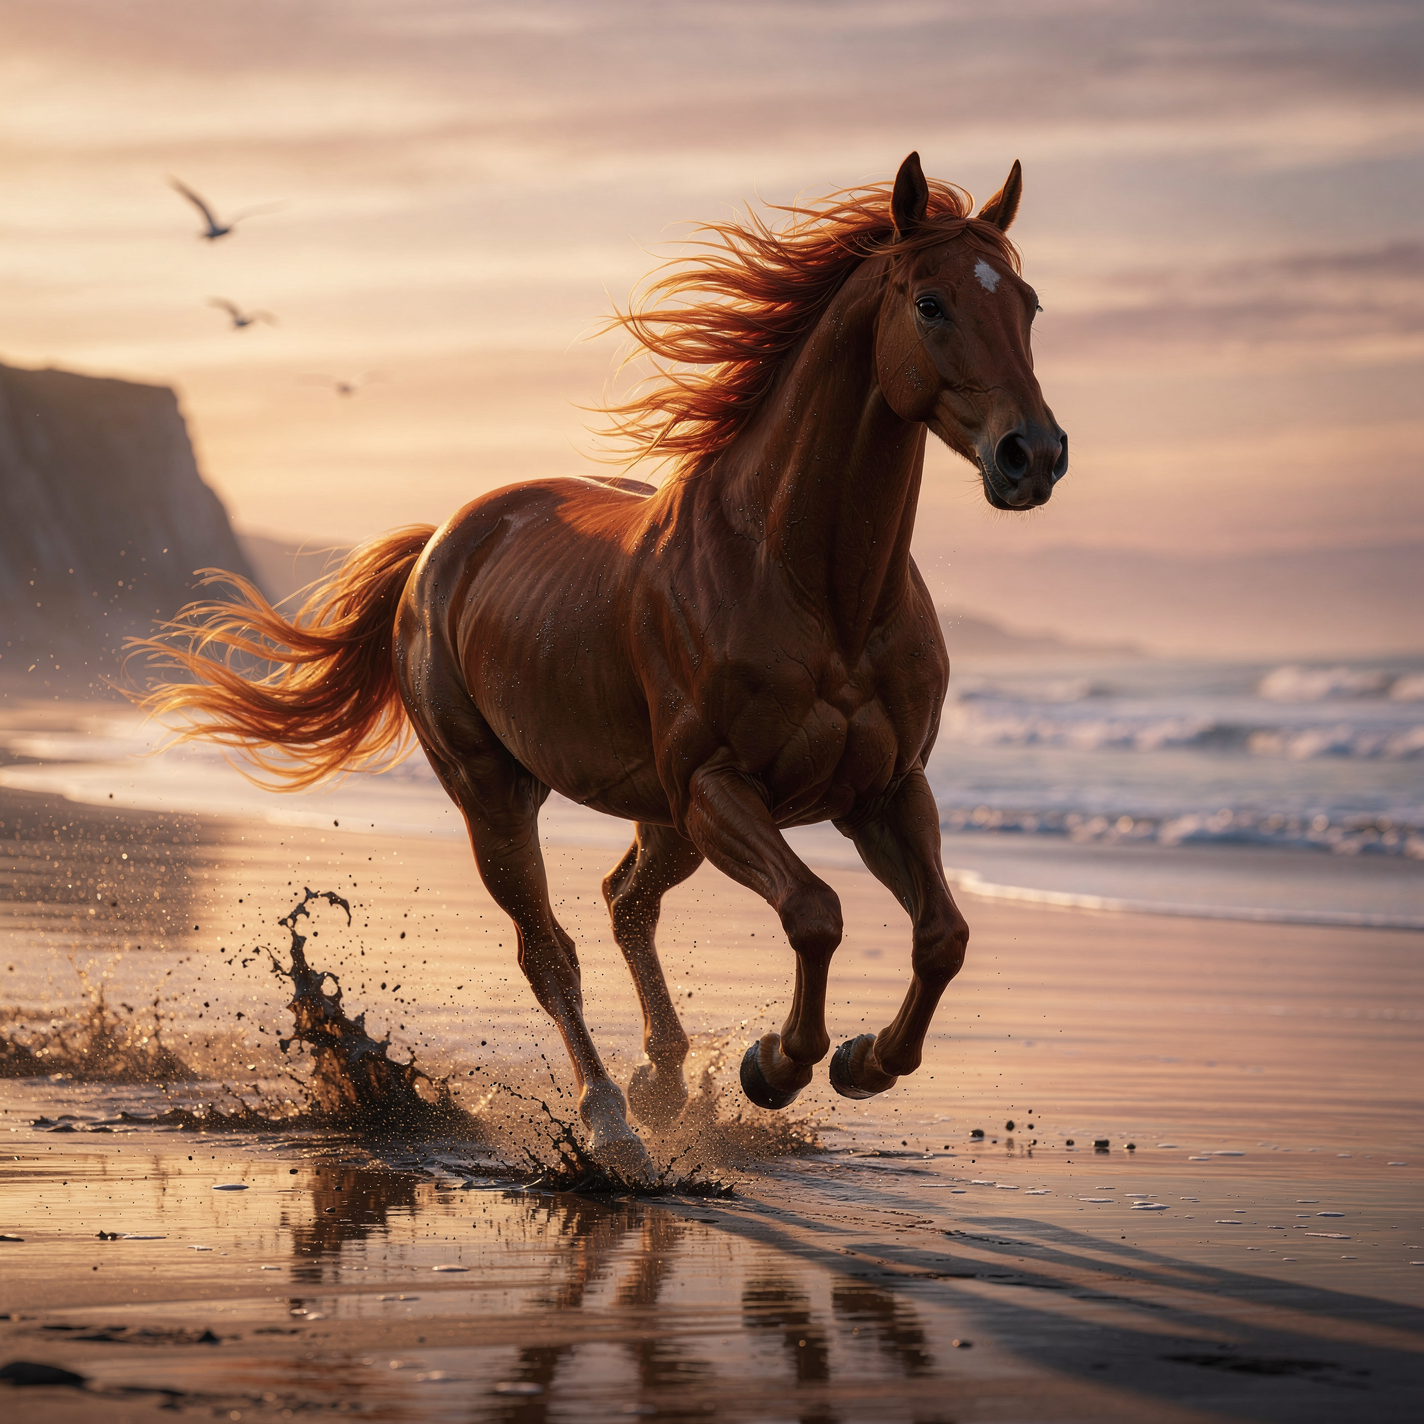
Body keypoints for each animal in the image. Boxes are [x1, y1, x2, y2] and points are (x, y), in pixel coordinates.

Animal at [135, 152, 1067, 1175]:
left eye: (1027, 303)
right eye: (931, 303)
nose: (1033, 455)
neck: (812, 587)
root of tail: (441, 544)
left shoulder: (885, 789)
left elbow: (942, 935)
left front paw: (863, 1061)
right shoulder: (718, 788)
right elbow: (816, 911)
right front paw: (775, 1066)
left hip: (661, 819)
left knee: (625, 902)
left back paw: (661, 1085)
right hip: (499, 795)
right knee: (550, 953)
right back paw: (614, 1125)